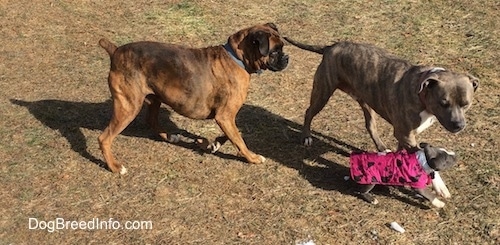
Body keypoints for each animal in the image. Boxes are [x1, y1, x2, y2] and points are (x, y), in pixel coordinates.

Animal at [284, 37, 478, 198]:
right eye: (443, 103)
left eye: (466, 104)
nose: (459, 125)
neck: (422, 93)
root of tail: (331, 46)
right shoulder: (405, 135)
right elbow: (429, 160)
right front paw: (439, 186)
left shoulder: (405, 136)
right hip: (323, 91)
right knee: (309, 112)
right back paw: (306, 137)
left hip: (366, 100)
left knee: (370, 124)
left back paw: (381, 147)